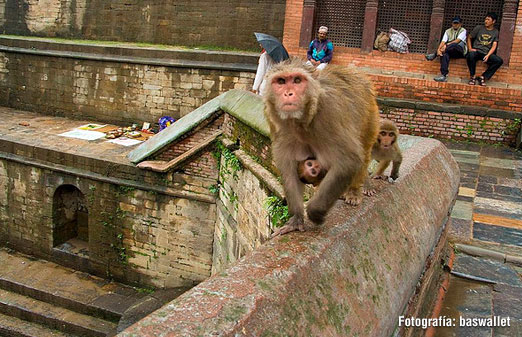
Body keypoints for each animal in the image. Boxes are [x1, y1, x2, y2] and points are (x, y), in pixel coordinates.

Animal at [262, 58, 376, 236]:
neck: (301, 121)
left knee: (363, 150)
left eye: (297, 80)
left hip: (370, 114)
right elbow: (289, 169)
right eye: (281, 81)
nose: (288, 93)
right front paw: (296, 219)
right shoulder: (276, 122)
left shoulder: (331, 111)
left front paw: (315, 212)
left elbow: (349, 160)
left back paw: (355, 190)